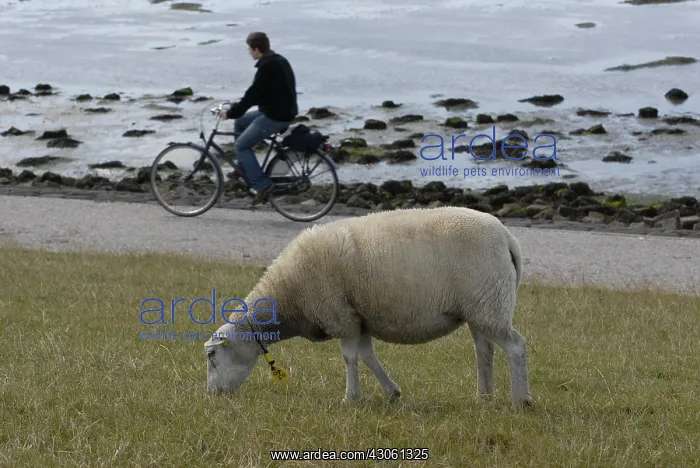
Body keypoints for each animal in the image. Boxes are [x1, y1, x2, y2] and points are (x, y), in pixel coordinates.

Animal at [204, 206, 532, 407]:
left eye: (212, 355)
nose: (211, 395)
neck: (289, 295)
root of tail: (507, 237)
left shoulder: (340, 316)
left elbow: (350, 358)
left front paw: (351, 398)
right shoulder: (357, 318)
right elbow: (367, 356)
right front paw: (392, 392)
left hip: (490, 302)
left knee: (516, 346)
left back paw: (522, 400)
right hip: (481, 307)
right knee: (485, 351)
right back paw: (484, 397)